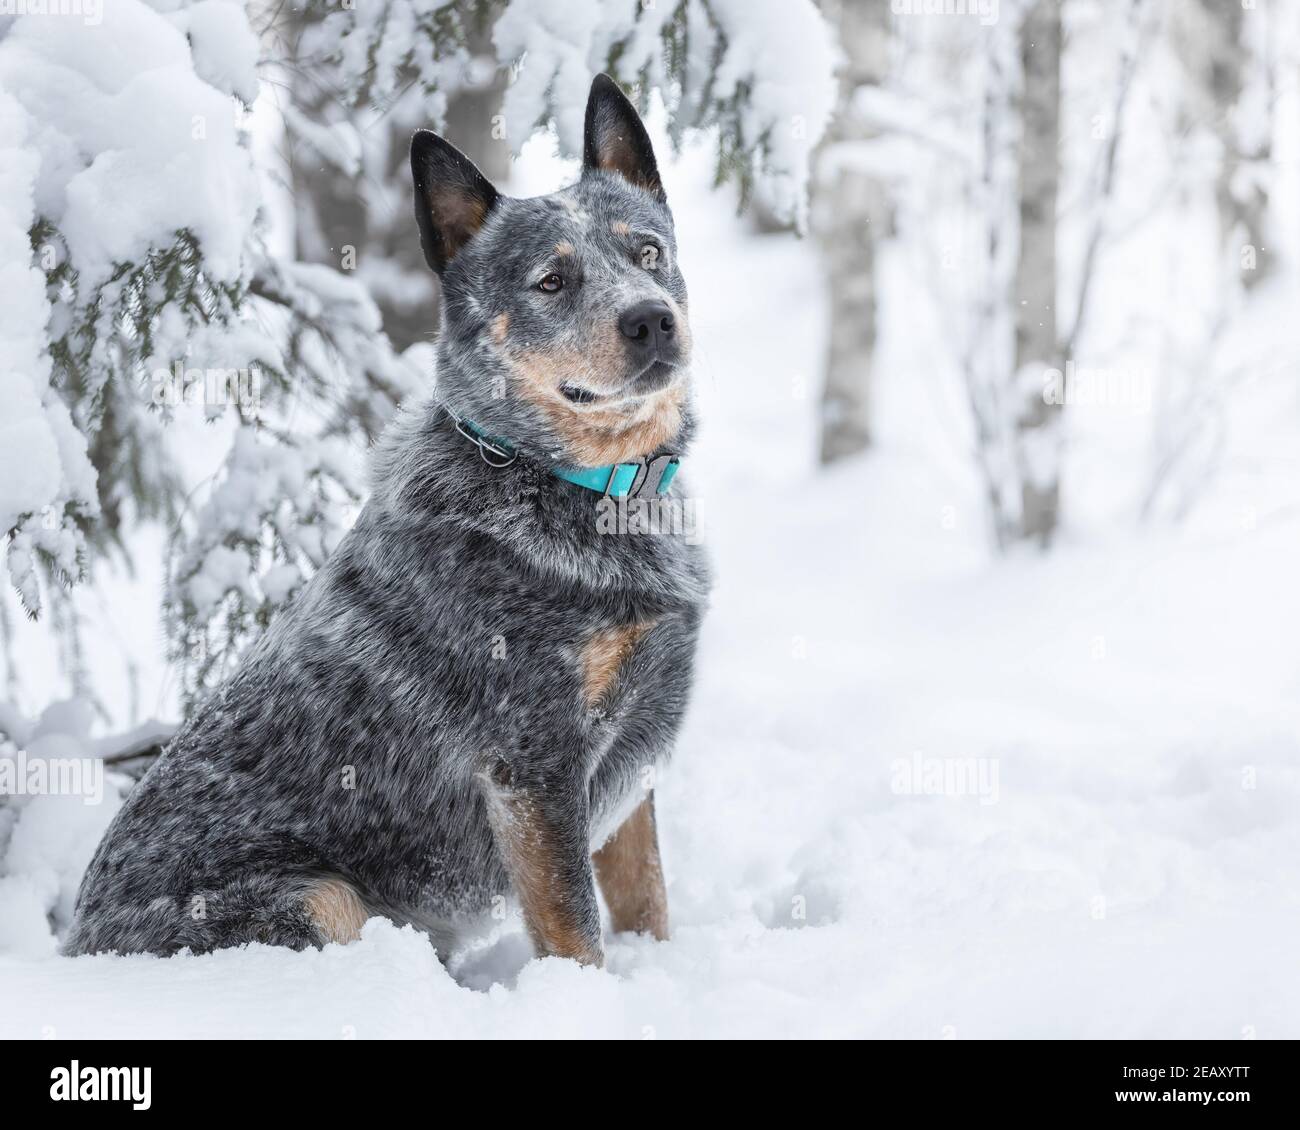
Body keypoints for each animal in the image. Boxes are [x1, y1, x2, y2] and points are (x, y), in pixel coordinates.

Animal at [63, 75, 712, 967]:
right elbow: (577, 931)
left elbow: (647, 900)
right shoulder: (534, 763)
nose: (651, 319)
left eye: (647, 252)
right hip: (323, 897)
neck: (577, 486)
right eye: (551, 281)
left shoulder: (634, 752)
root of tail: (78, 948)